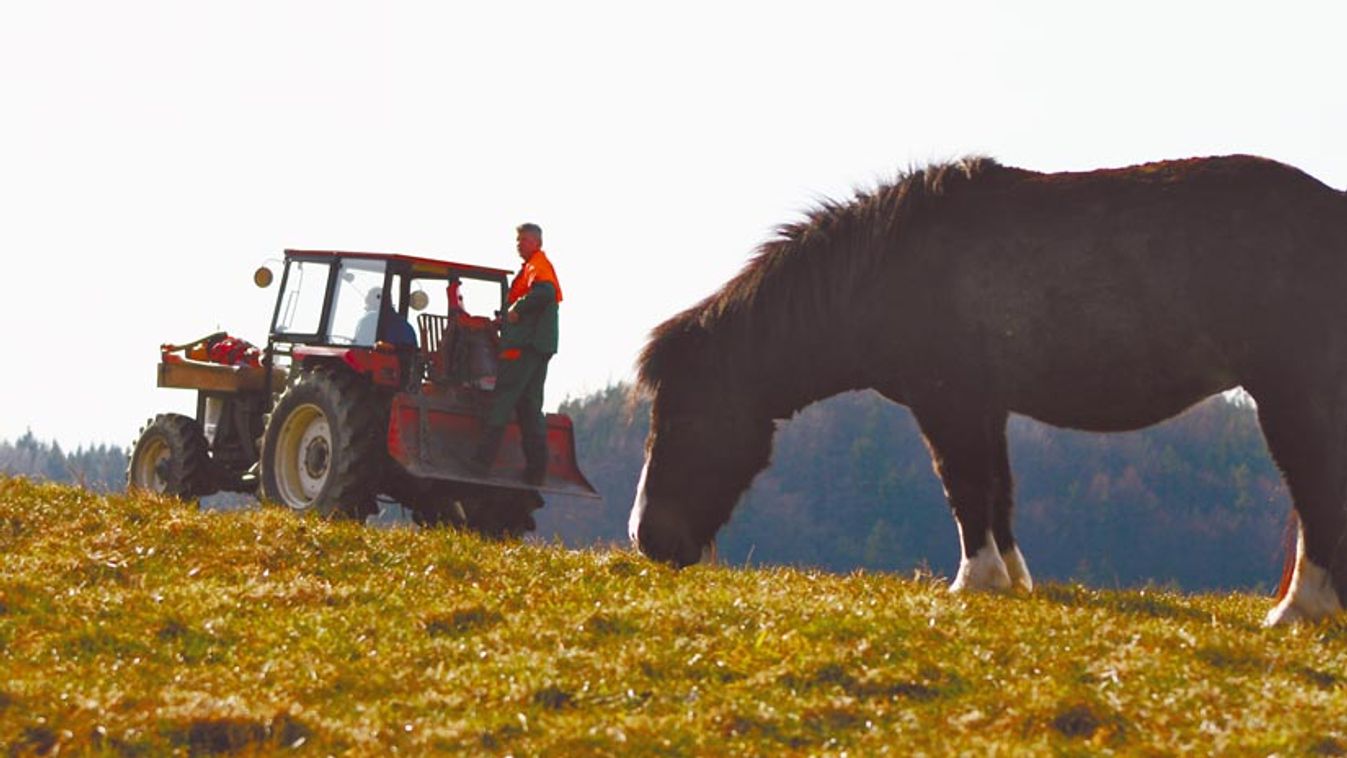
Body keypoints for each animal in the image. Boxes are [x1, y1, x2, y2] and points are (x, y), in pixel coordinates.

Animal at [627, 152, 1347, 622]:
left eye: (682, 418)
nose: (647, 539)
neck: (882, 270)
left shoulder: (948, 402)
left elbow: (964, 485)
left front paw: (974, 581)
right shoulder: (985, 406)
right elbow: (997, 490)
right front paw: (1012, 581)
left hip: (1288, 391)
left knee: (1312, 487)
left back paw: (1297, 608)